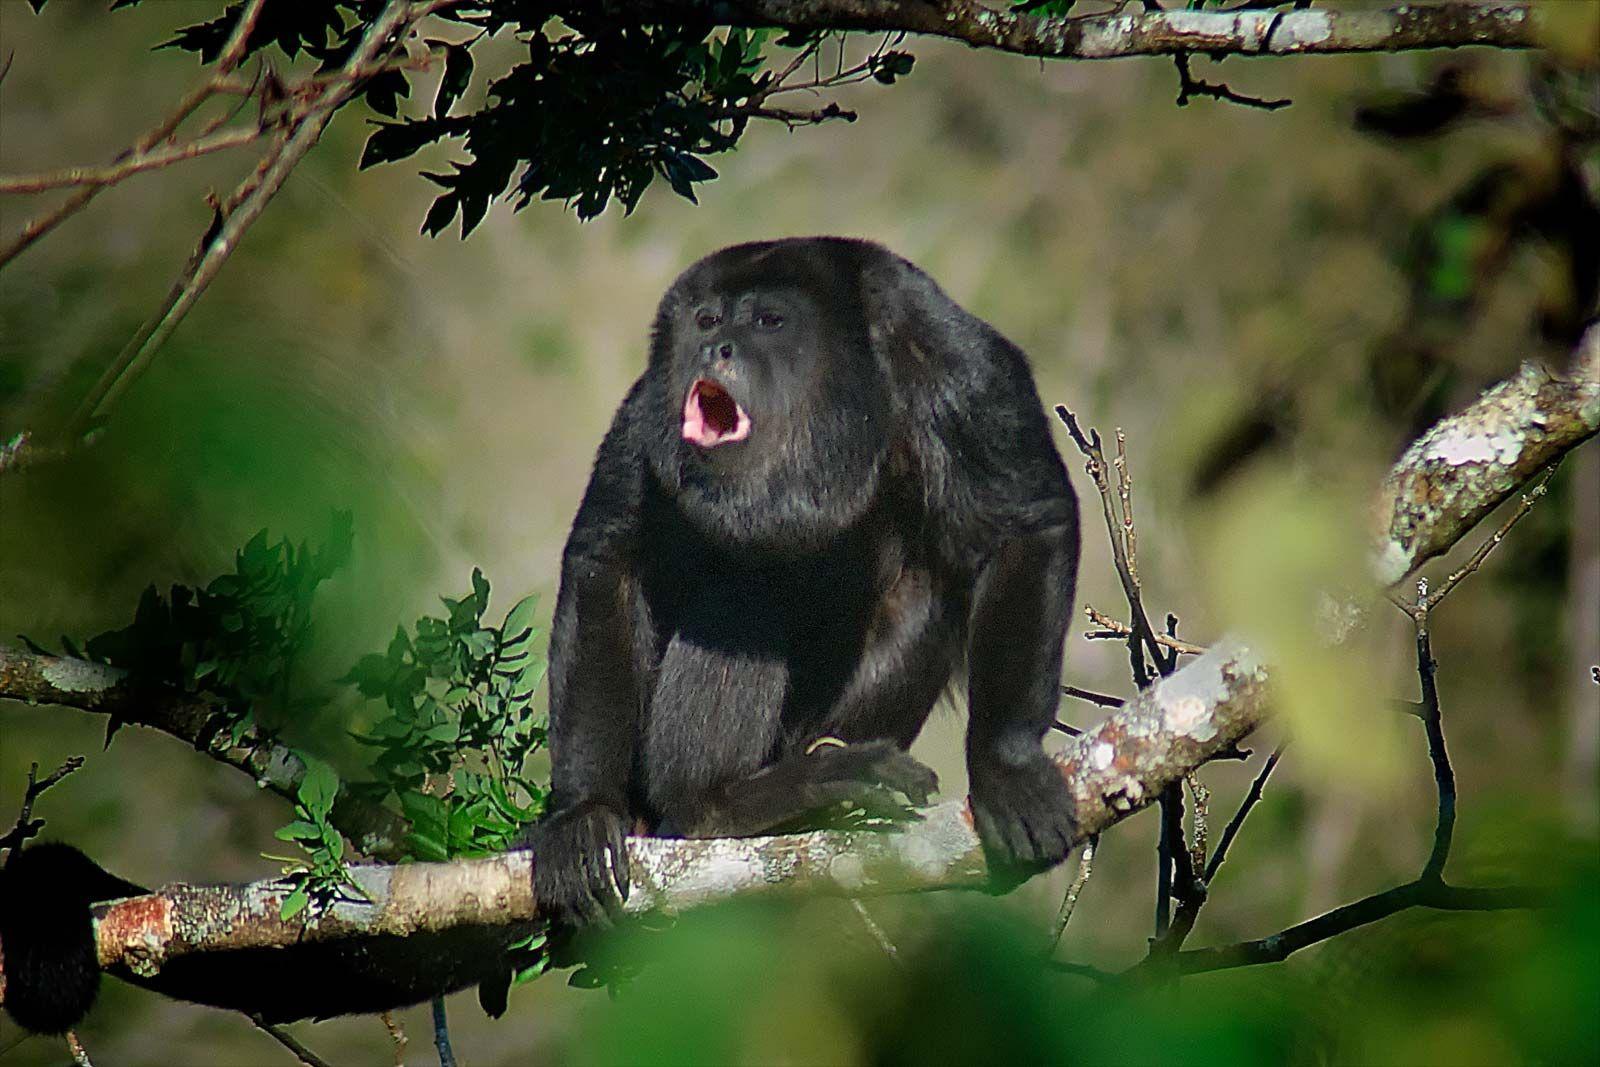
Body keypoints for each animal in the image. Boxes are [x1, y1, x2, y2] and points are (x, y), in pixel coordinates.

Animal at [531, 238, 1081, 921]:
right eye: (707, 320)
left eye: (770, 321)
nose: (715, 348)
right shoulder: (647, 404)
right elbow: (608, 558)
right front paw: (581, 814)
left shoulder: (961, 367)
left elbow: (1025, 524)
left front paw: (1008, 767)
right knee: (746, 595)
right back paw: (718, 804)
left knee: (927, 591)